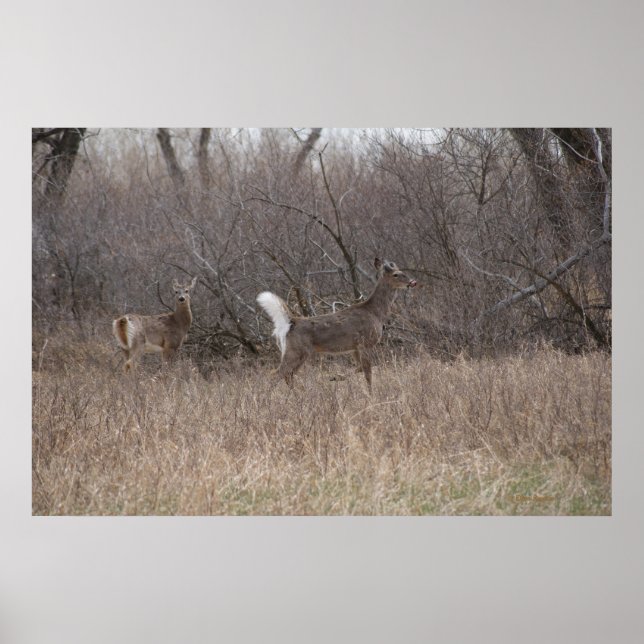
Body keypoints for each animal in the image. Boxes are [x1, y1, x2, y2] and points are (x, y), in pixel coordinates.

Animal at [256, 258, 417, 391]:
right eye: (396, 274)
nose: (412, 282)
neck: (376, 313)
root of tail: (291, 322)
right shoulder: (365, 342)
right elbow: (368, 373)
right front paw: (371, 395)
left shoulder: (354, 347)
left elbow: (359, 368)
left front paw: (335, 377)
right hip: (296, 350)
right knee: (276, 374)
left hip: (298, 352)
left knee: (287, 375)